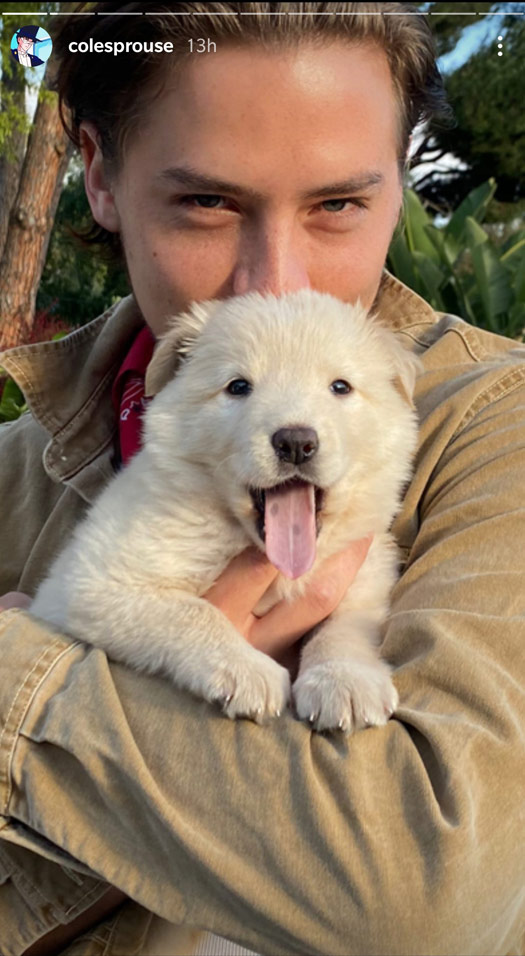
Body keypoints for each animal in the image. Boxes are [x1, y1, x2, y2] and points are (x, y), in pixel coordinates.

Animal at [30, 290, 420, 732]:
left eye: (341, 387)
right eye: (238, 387)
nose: (296, 442)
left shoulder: (365, 574)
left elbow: (346, 624)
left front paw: (343, 678)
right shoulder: (88, 584)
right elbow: (193, 611)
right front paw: (248, 671)